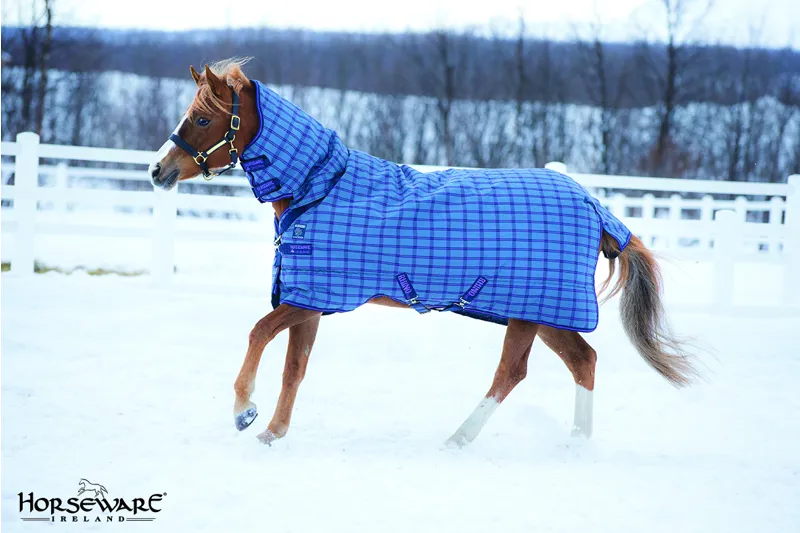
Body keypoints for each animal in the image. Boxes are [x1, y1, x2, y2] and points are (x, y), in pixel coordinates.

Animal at [148, 58, 698, 447]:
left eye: (201, 118)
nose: (158, 170)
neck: (319, 190)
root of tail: (594, 205)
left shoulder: (310, 297)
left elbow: (258, 334)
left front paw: (244, 411)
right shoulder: (311, 302)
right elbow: (293, 368)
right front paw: (272, 433)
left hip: (531, 312)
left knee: (511, 374)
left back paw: (458, 439)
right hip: (545, 313)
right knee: (583, 361)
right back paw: (576, 443)